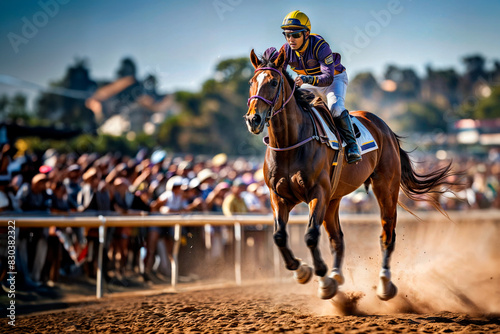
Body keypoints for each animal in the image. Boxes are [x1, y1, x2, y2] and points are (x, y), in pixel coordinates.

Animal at [244, 48, 456, 302]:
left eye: (274, 82)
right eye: (251, 82)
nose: (253, 119)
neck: (290, 144)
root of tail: (385, 128)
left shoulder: (318, 193)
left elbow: (311, 235)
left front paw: (322, 278)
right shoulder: (279, 196)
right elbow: (279, 236)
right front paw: (303, 271)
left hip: (385, 188)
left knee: (387, 234)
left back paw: (384, 284)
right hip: (334, 199)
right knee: (338, 238)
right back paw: (337, 276)